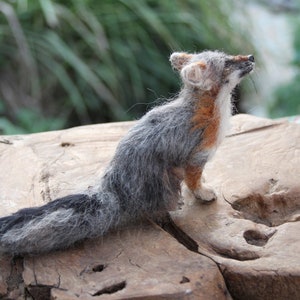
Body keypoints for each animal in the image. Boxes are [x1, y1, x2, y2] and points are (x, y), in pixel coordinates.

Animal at [0, 49, 255, 253]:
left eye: (231, 55)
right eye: (228, 63)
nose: (252, 57)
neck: (206, 110)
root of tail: (112, 189)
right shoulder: (195, 158)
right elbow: (195, 183)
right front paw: (203, 193)